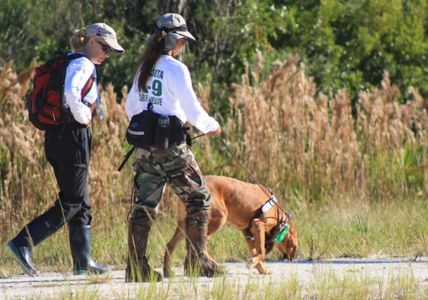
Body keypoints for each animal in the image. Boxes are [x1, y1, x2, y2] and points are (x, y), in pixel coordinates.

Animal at [162, 175, 296, 276]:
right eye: (293, 246)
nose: (291, 259)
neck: (278, 214)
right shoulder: (258, 224)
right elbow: (261, 252)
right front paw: (254, 263)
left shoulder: (248, 234)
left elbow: (255, 252)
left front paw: (261, 268)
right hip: (217, 219)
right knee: (199, 245)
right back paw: (211, 267)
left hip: (184, 225)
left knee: (172, 245)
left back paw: (169, 271)